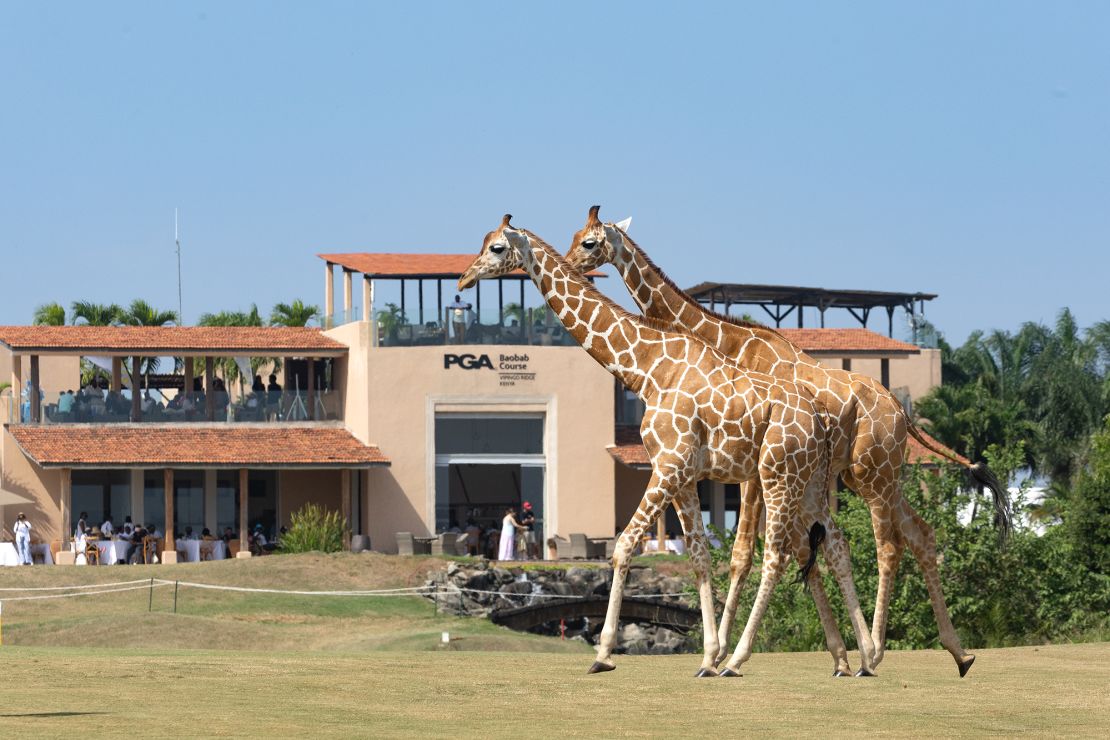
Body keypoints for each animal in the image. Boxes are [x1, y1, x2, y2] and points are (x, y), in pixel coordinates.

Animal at [459, 214, 874, 678]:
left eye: (496, 248)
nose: (463, 279)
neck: (645, 370)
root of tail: (820, 420)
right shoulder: (682, 474)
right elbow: (698, 555)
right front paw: (707, 656)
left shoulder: (668, 466)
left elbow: (624, 546)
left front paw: (604, 653)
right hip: (810, 483)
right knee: (835, 544)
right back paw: (863, 656)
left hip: (777, 476)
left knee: (778, 555)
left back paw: (741, 659)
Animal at [568, 204, 1012, 678]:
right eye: (575, 237)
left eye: (589, 243)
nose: (572, 265)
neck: (729, 340)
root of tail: (901, 410)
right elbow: (794, 551)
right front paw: (833, 656)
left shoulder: (752, 469)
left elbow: (745, 552)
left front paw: (721, 654)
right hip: (873, 476)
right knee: (922, 534)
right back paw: (958, 653)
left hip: (873, 475)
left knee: (888, 547)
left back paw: (876, 653)